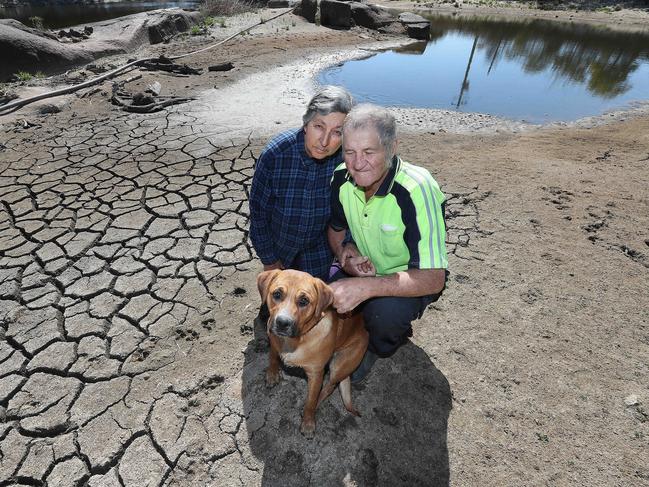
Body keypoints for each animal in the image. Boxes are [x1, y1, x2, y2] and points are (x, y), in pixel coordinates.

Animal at [258, 270, 370, 438]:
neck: (294, 341)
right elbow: (273, 357)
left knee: (330, 387)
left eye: (304, 301)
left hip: (339, 365)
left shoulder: (316, 374)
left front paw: (308, 422)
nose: (282, 323)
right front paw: (272, 374)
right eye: (277, 294)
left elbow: (310, 401)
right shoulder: (273, 341)